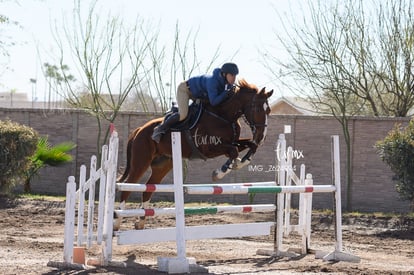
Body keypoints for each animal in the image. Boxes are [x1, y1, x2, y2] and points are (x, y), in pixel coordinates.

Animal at [117, 78, 272, 230]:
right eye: (257, 109)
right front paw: (220, 172)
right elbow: (233, 151)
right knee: (127, 187)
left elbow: (250, 146)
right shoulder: (208, 148)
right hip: (141, 162)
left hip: (162, 165)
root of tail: (139, 130)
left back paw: (140, 222)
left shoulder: (232, 142)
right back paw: (117, 222)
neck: (224, 115)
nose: (262, 136)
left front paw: (240, 162)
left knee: (148, 189)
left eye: (268, 111)